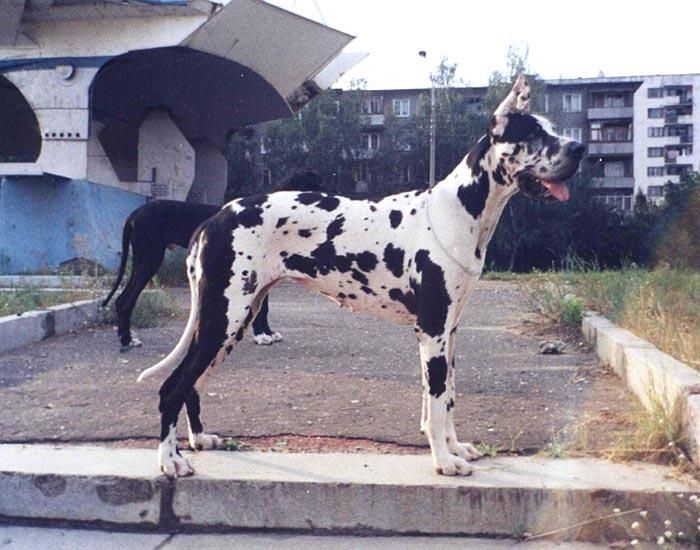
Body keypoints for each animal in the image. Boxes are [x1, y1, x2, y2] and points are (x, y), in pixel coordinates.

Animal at [103, 171, 323, 351]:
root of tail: (135, 214)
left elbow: (264, 308)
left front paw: (268, 333)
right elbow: (259, 309)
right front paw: (261, 336)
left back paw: (127, 338)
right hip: (149, 259)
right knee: (125, 299)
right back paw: (126, 340)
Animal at [138, 77, 584, 478]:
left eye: (552, 128)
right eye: (534, 133)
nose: (580, 148)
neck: (458, 210)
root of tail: (213, 219)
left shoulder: (448, 333)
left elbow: (447, 401)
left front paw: (456, 448)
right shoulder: (434, 332)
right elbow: (438, 404)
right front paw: (444, 462)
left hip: (232, 324)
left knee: (193, 385)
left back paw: (200, 439)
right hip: (223, 320)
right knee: (172, 388)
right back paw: (170, 460)